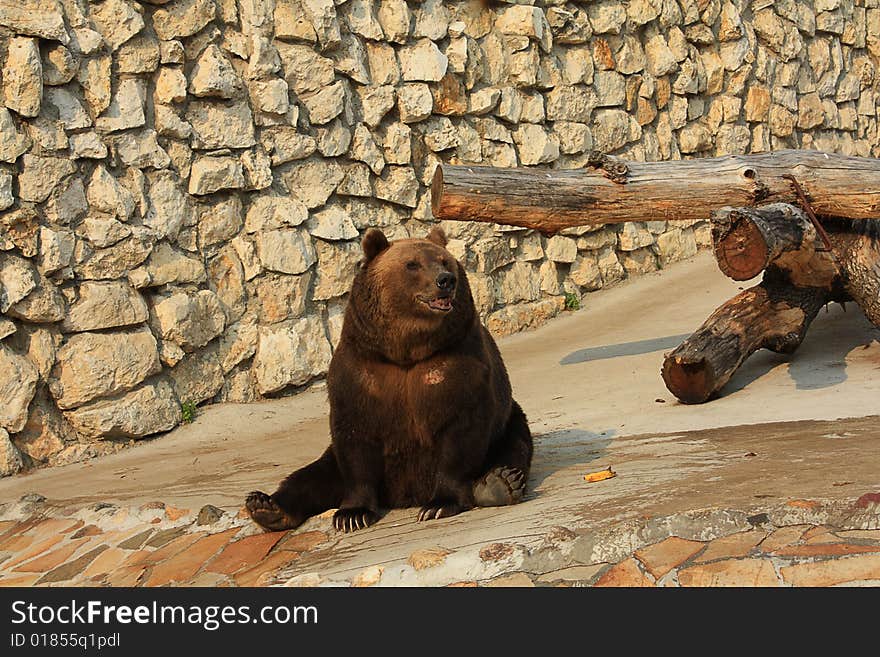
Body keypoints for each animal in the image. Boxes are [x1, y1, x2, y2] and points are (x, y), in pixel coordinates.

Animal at [244, 226, 532, 532]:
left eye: (444, 260)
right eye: (412, 264)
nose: (446, 280)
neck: (406, 351)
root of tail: (401, 496)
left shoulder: (456, 361)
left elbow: (460, 431)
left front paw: (439, 504)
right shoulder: (363, 372)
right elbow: (356, 440)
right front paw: (352, 514)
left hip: (508, 421)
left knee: (514, 446)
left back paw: (499, 483)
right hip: (332, 459)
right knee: (313, 476)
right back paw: (266, 506)